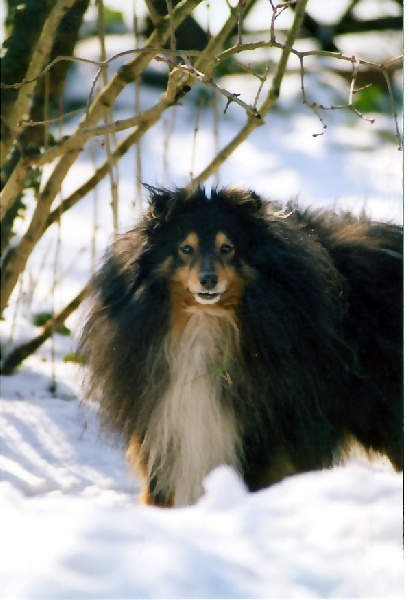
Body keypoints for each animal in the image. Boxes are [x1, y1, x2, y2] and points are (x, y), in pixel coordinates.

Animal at [80, 186, 404, 506]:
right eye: (186, 248)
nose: (208, 280)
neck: (204, 321)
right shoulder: (161, 432)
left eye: (227, 248)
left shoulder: (261, 435)